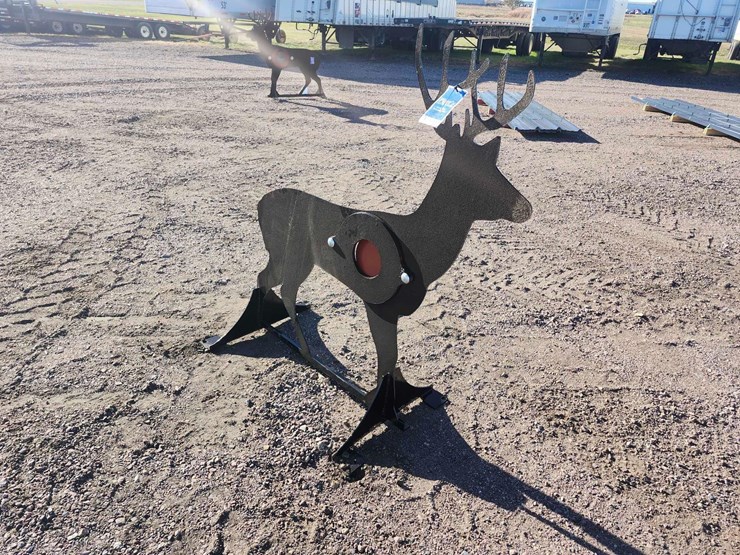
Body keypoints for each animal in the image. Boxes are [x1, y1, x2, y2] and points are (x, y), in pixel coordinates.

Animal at [204, 25, 535, 460]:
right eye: (478, 174)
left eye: (496, 167)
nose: (525, 208)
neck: (420, 248)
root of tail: (260, 202)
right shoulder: (378, 306)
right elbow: (384, 363)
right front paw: (366, 424)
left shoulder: (393, 313)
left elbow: (393, 366)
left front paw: (406, 398)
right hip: (292, 254)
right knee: (274, 284)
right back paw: (271, 343)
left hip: (290, 255)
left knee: (272, 284)